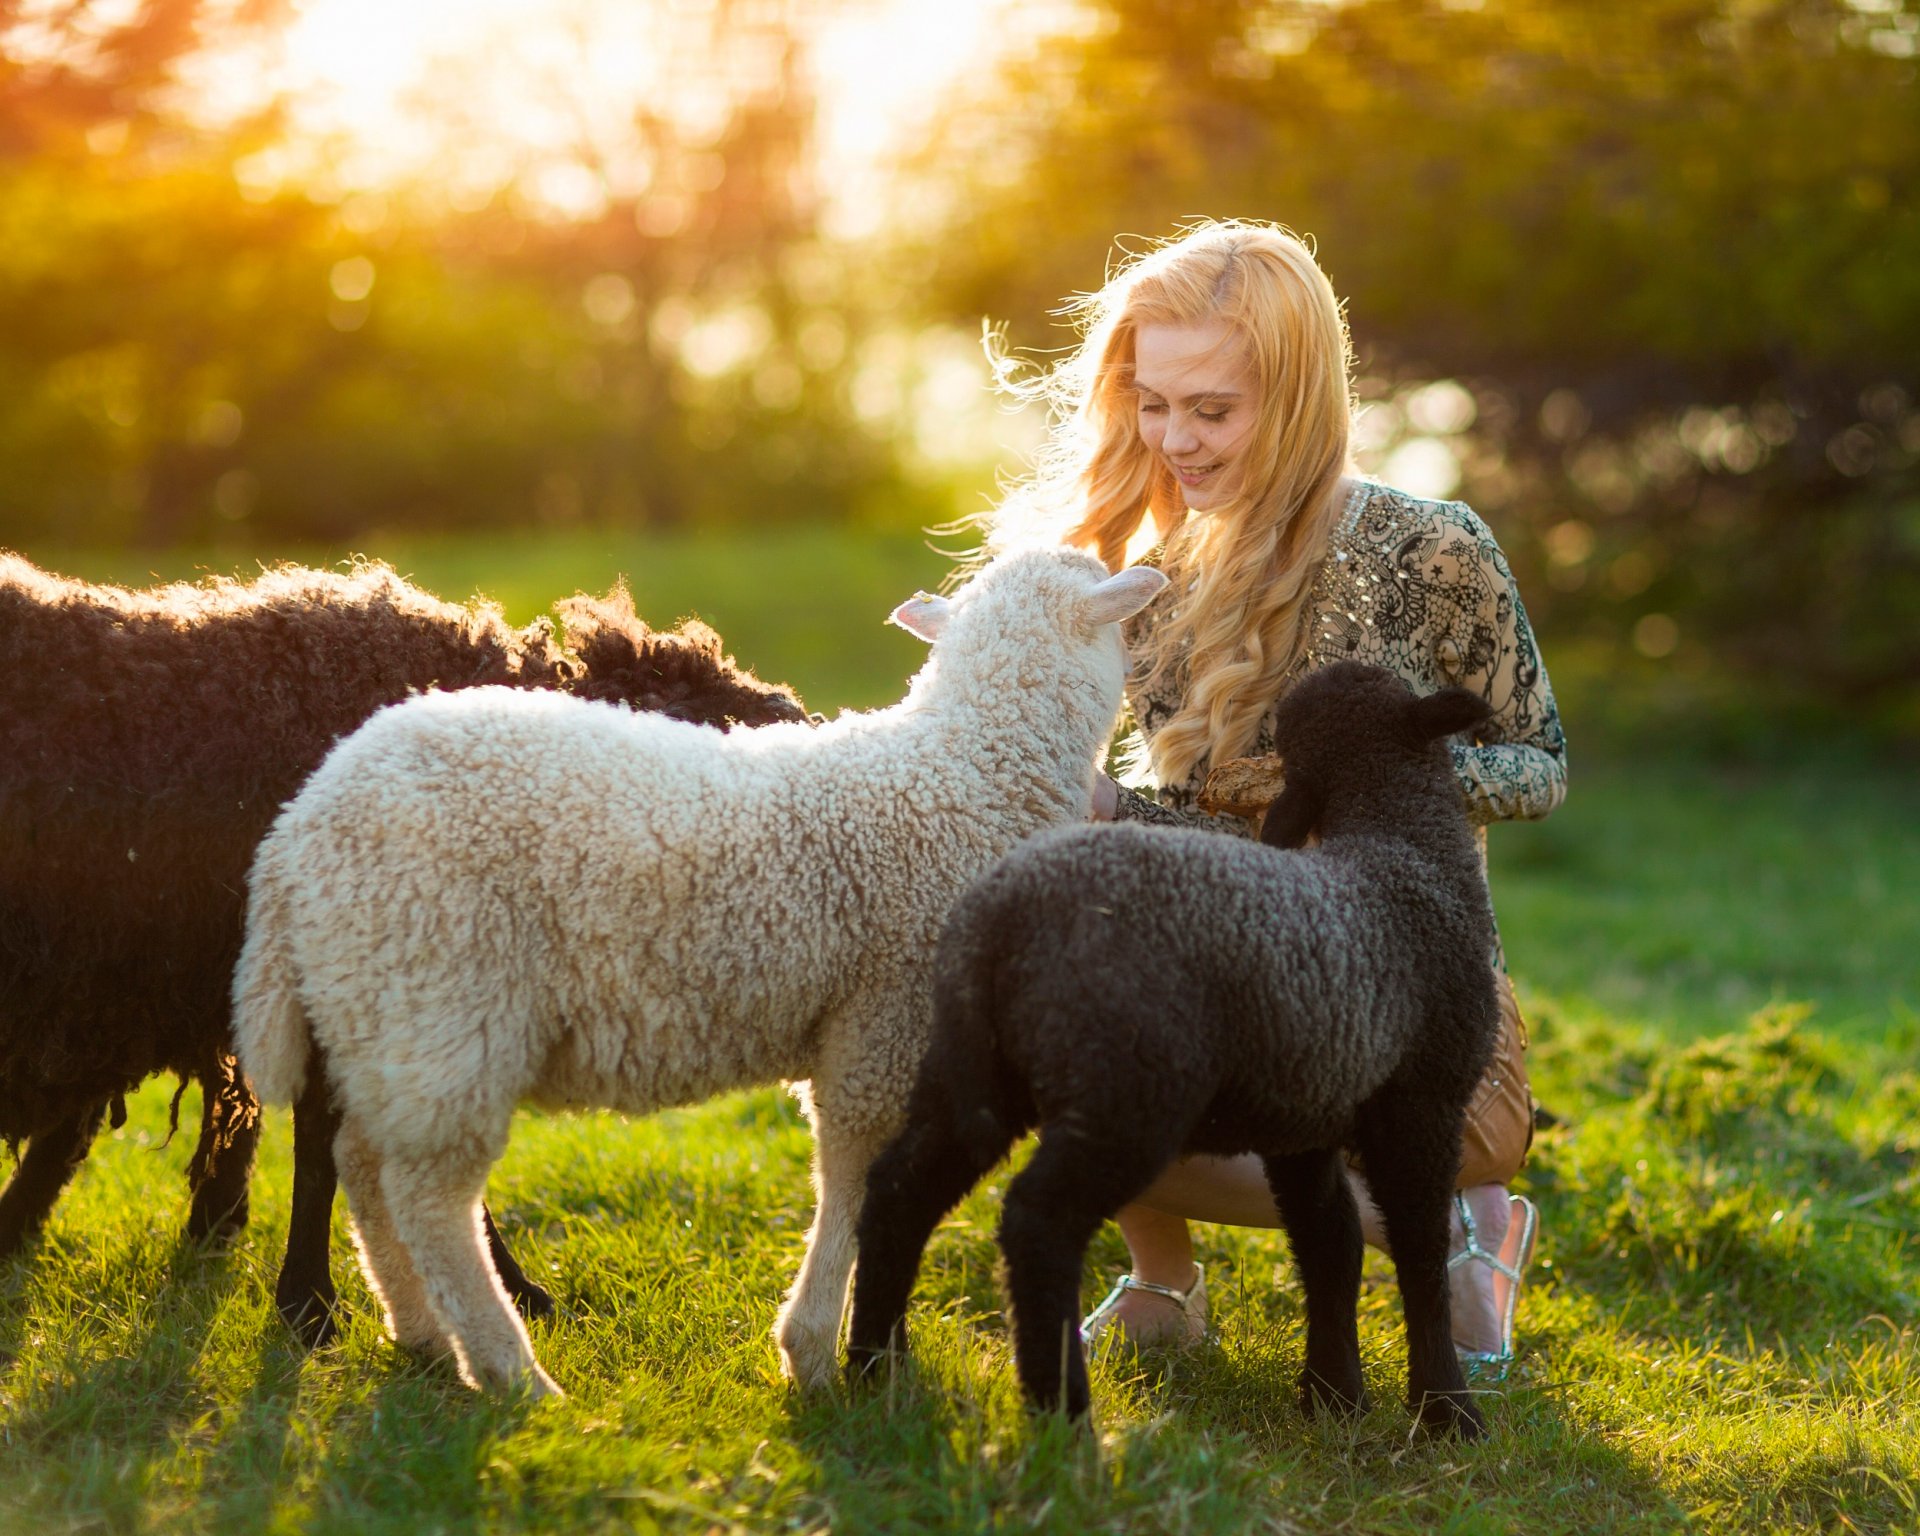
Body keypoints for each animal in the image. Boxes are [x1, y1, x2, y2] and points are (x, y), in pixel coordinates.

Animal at [232, 545, 1159, 1397]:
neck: (970, 768)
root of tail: (296, 832)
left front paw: (868, 1349)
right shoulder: (883, 1022)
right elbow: (857, 1176)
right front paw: (817, 1353)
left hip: (381, 1013)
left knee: (363, 1166)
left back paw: (421, 1331)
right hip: (442, 998)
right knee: (426, 1197)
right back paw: (511, 1373)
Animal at [852, 664, 1497, 1443]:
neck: (1407, 846)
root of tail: (1005, 919)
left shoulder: (1305, 1112)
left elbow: (1331, 1244)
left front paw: (1332, 1395)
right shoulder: (1425, 1101)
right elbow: (1420, 1253)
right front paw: (1447, 1410)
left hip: (969, 1068)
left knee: (899, 1187)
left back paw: (873, 1373)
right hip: (1127, 1088)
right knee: (1038, 1219)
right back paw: (1063, 1419)